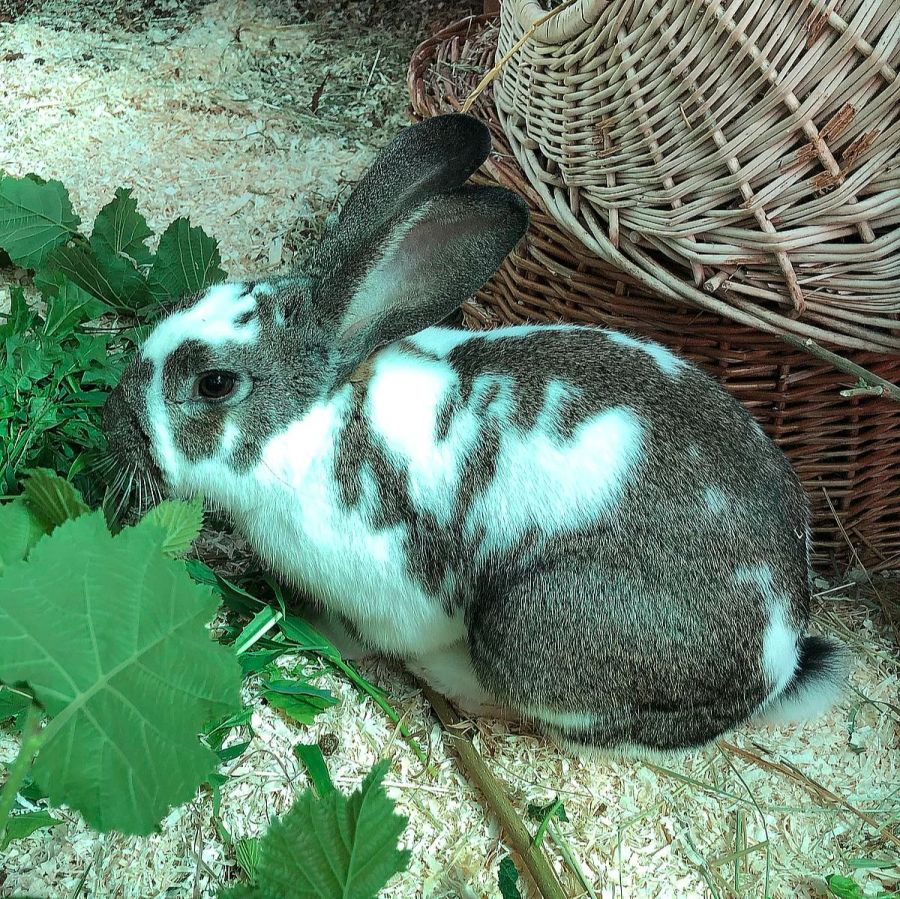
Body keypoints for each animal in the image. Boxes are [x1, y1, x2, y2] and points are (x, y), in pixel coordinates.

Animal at [102, 114, 848, 760]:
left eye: (215, 383)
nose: (114, 421)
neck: (319, 419)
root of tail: (784, 643)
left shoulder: (388, 590)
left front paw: (325, 634)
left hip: (535, 631)